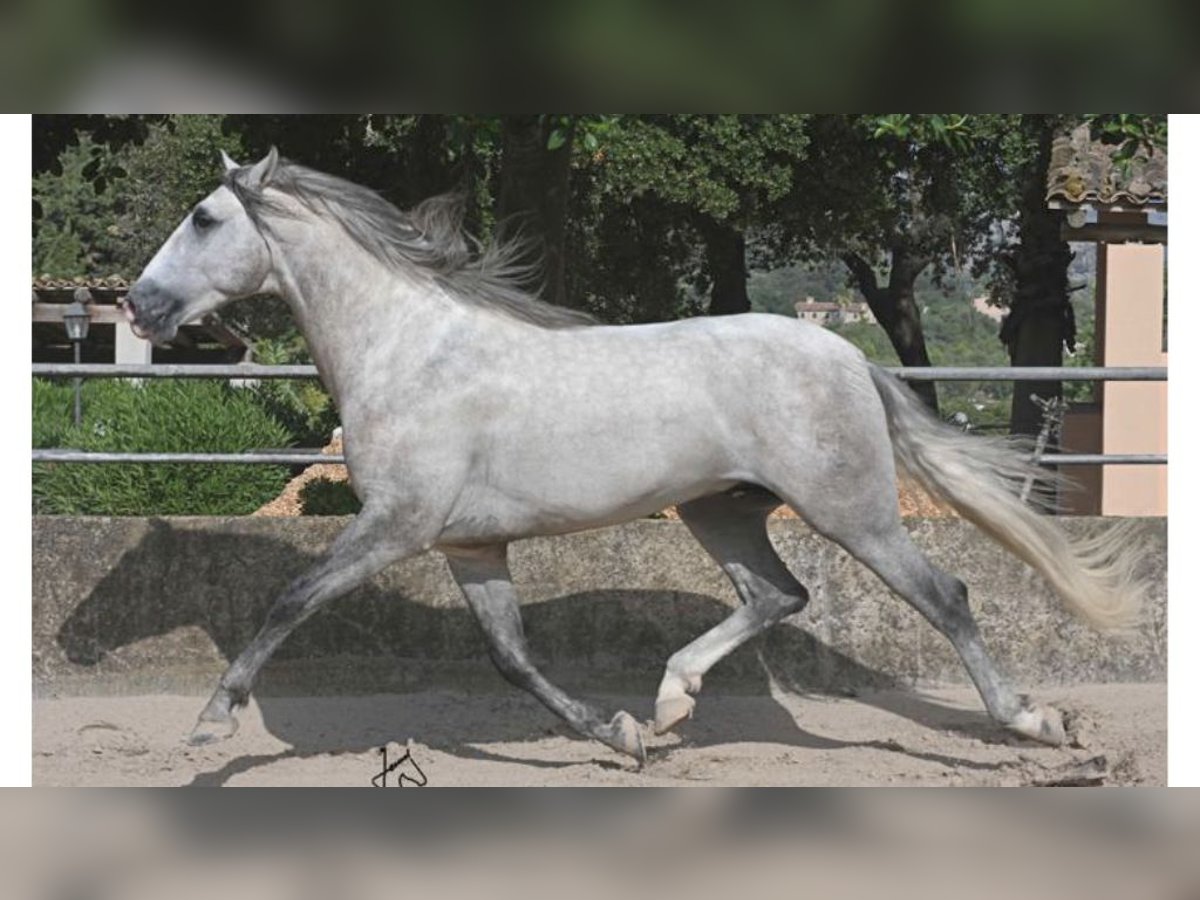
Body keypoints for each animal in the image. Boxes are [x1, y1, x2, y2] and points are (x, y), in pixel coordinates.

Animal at [121, 150, 1142, 768]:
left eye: (205, 218)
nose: (139, 306)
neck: (410, 352)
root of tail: (851, 356)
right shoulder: (468, 546)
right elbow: (512, 659)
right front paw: (617, 735)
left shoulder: (396, 526)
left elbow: (291, 598)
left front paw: (213, 720)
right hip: (720, 507)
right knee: (778, 595)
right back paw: (670, 702)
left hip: (849, 509)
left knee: (942, 596)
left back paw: (1033, 721)